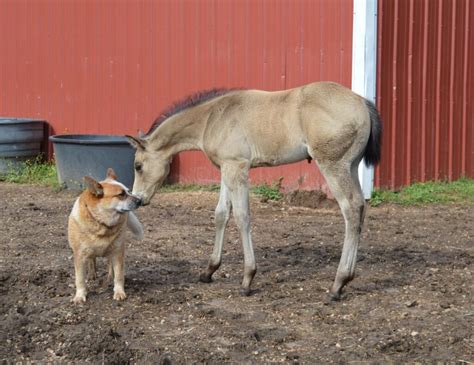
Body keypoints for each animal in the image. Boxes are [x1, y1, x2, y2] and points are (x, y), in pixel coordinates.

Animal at [67, 168, 143, 302]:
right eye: (121, 194)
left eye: (129, 191)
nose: (140, 200)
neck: (102, 224)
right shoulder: (79, 255)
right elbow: (80, 278)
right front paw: (80, 295)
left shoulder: (118, 252)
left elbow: (118, 275)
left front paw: (119, 292)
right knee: (92, 260)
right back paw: (92, 274)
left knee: (109, 265)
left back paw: (109, 278)